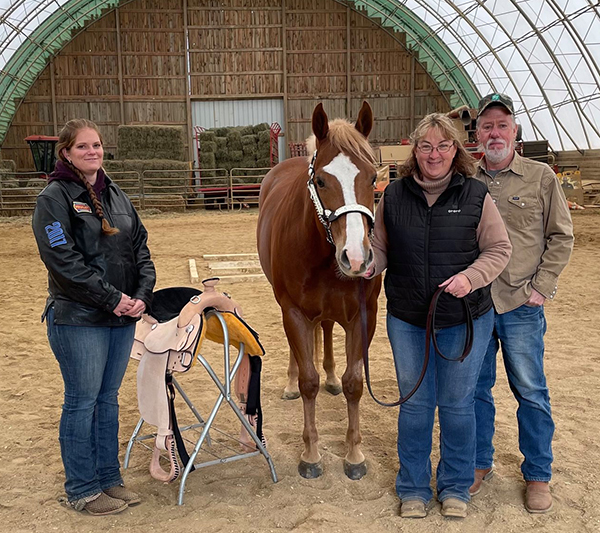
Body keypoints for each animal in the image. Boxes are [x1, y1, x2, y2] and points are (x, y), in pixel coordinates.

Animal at [256, 102, 380, 480]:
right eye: (322, 181)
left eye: (373, 177)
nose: (356, 257)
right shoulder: (294, 313)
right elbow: (308, 380)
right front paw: (310, 455)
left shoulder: (363, 316)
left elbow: (354, 383)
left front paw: (354, 455)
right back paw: (290, 383)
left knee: (324, 328)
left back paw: (331, 377)